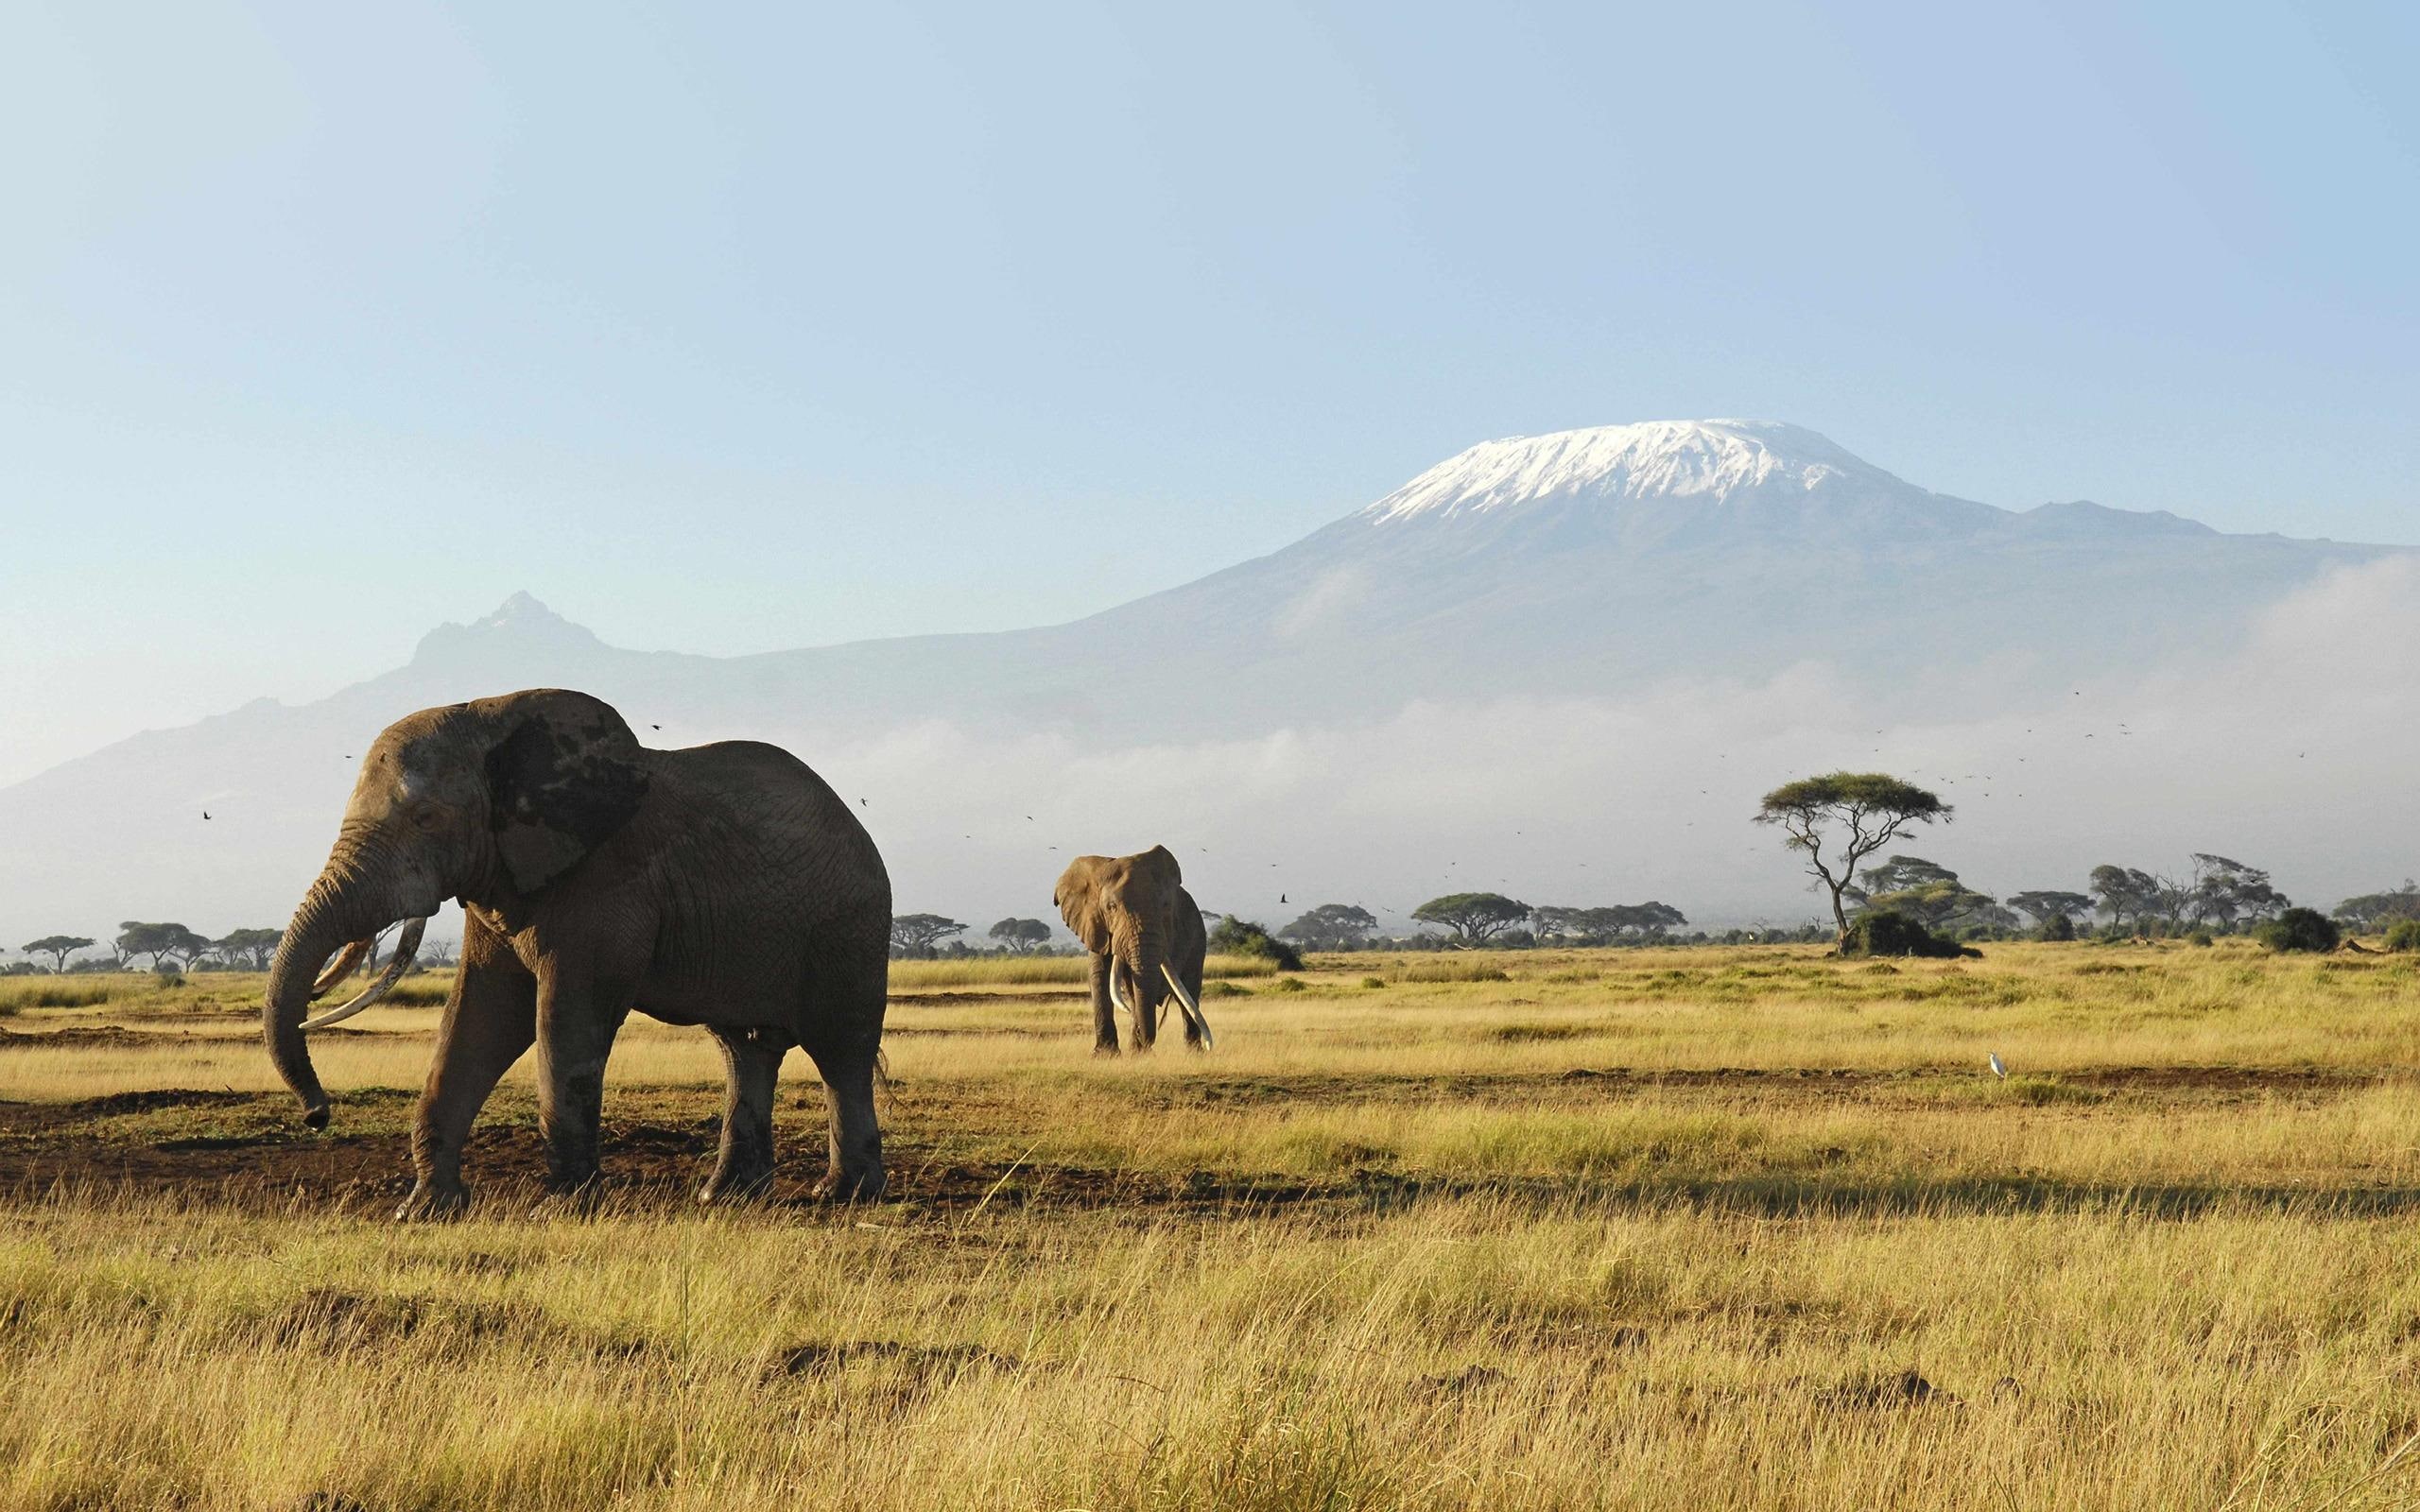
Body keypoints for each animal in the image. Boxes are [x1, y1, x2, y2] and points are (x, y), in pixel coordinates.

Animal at [262, 688, 891, 1217]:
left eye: (426, 818)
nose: (318, 1116)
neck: (490, 718)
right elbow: (481, 1019)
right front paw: (424, 1212)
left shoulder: (605, 881)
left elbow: (565, 1020)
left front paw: (562, 1208)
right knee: (745, 1048)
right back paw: (725, 1197)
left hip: (850, 928)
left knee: (841, 1051)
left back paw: (844, 1195)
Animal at [1052, 846, 1212, 1054]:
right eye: (1111, 907)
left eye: (1166, 907)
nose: (1147, 1044)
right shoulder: (1095, 925)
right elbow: (1099, 976)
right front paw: (1106, 1054)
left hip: (1198, 938)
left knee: (1189, 993)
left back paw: (1193, 1053)